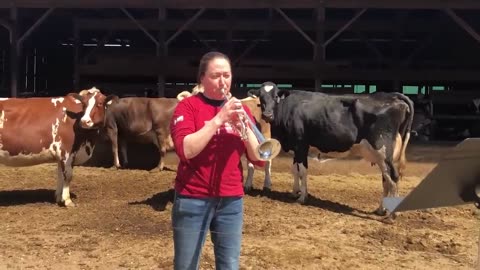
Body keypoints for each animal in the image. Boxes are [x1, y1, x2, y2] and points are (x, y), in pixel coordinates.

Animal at [249, 82, 414, 215]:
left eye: (276, 96)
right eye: (261, 97)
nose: (267, 114)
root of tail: (391, 96)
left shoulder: (301, 144)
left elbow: (302, 171)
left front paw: (302, 197)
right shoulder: (296, 147)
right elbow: (295, 170)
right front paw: (294, 192)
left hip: (381, 149)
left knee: (393, 177)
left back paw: (391, 215)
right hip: (383, 155)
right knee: (386, 178)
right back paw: (381, 210)